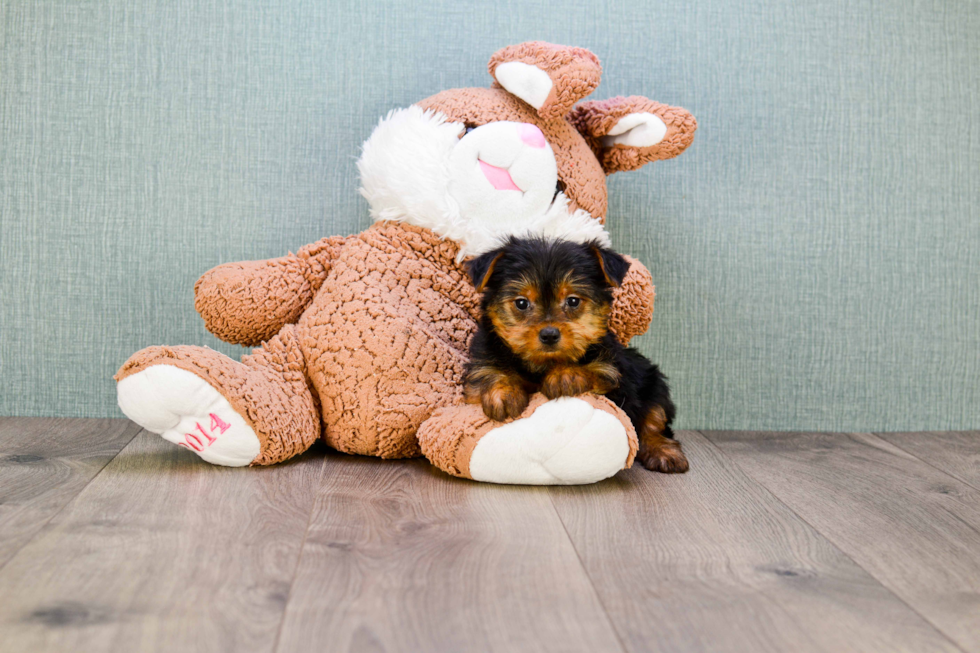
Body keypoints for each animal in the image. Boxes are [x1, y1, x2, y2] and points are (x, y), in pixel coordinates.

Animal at [466, 237, 688, 472]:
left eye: (573, 301)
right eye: (521, 303)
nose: (549, 334)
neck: (542, 364)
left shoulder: (611, 370)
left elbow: (595, 370)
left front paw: (565, 375)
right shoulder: (483, 360)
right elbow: (489, 373)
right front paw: (503, 393)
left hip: (653, 383)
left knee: (654, 420)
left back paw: (663, 451)